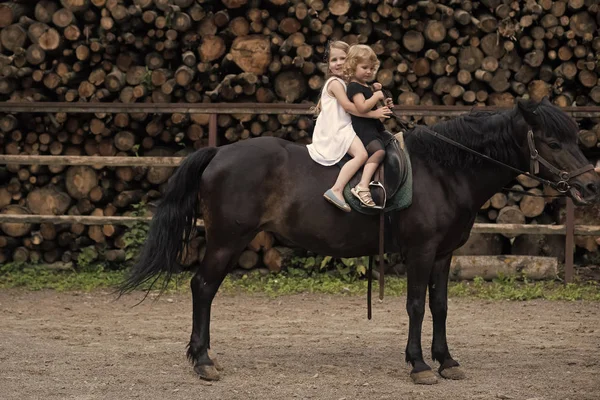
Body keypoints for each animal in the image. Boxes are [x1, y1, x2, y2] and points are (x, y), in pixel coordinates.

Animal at [119, 97, 596, 384]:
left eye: (574, 138)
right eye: (552, 142)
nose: (590, 187)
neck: (445, 170)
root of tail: (219, 152)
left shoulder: (443, 254)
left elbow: (440, 306)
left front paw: (446, 361)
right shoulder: (421, 251)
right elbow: (416, 305)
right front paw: (419, 364)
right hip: (226, 241)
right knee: (202, 288)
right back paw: (202, 361)